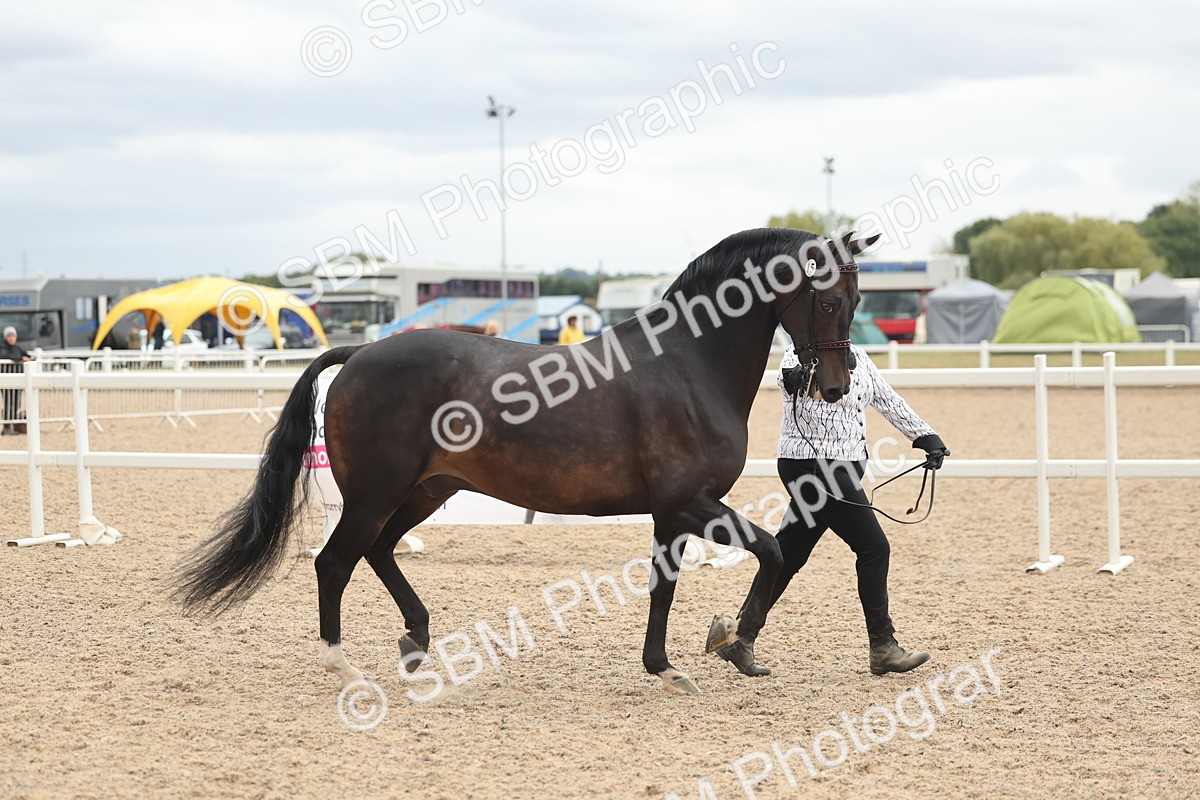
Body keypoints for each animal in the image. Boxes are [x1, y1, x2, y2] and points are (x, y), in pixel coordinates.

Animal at [174, 227, 876, 696]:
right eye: (829, 300)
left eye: (856, 299)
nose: (835, 386)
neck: (685, 363)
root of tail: (360, 355)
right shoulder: (690, 502)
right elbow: (772, 551)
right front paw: (734, 643)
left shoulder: (673, 512)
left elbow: (664, 585)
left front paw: (667, 666)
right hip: (378, 494)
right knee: (335, 562)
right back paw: (345, 667)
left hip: (428, 491)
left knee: (378, 552)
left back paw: (416, 641)